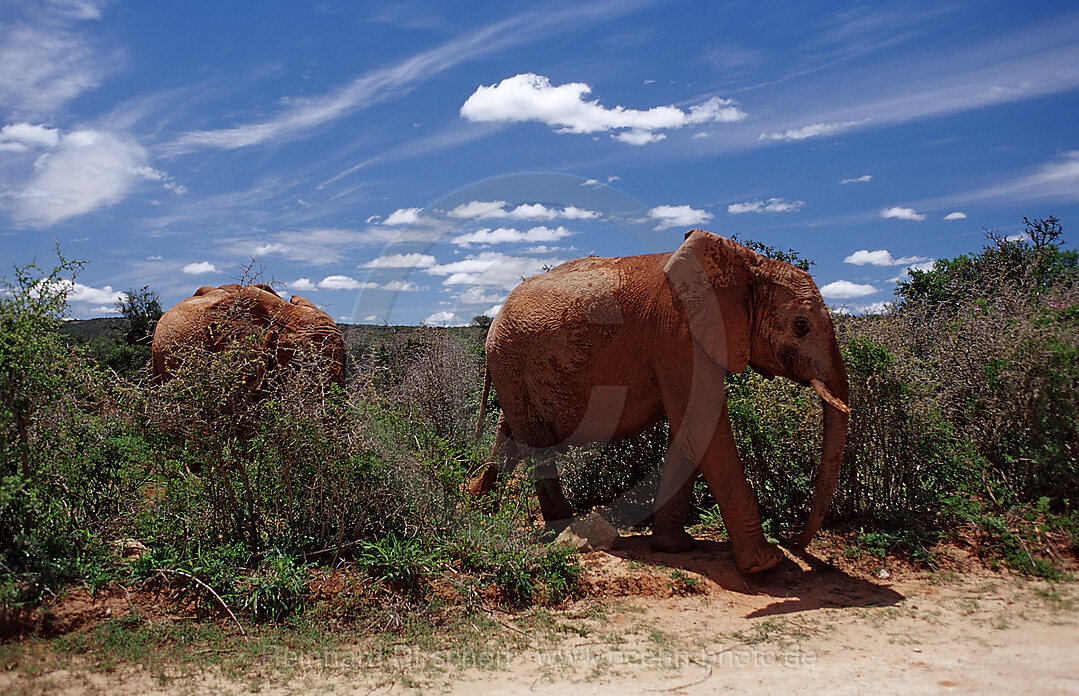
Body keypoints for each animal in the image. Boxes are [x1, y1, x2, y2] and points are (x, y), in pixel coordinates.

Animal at [470, 230, 850, 574]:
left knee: (510, 435)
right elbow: (703, 426)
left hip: (512, 369)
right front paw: (766, 565)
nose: (795, 542)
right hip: (512, 359)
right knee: (536, 445)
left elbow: (689, 431)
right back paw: (560, 528)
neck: (746, 263)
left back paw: (479, 504)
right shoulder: (678, 337)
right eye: (801, 326)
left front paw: (674, 547)